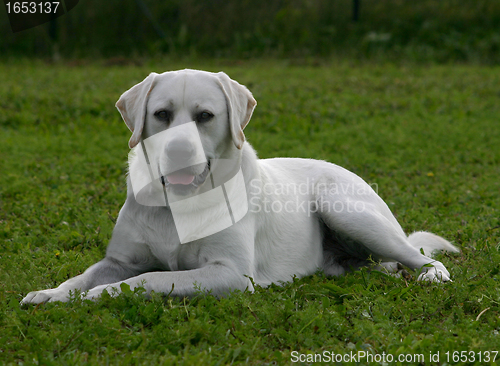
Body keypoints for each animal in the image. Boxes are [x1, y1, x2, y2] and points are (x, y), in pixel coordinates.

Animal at [20, 70, 458, 304]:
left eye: (205, 116)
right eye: (161, 114)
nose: (178, 150)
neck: (180, 202)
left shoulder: (229, 273)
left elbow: (149, 278)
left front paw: (102, 295)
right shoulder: (119, 260)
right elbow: (83, 276)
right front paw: (52, 294)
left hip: (346, 210)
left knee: (421, 257)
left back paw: (429, 276)